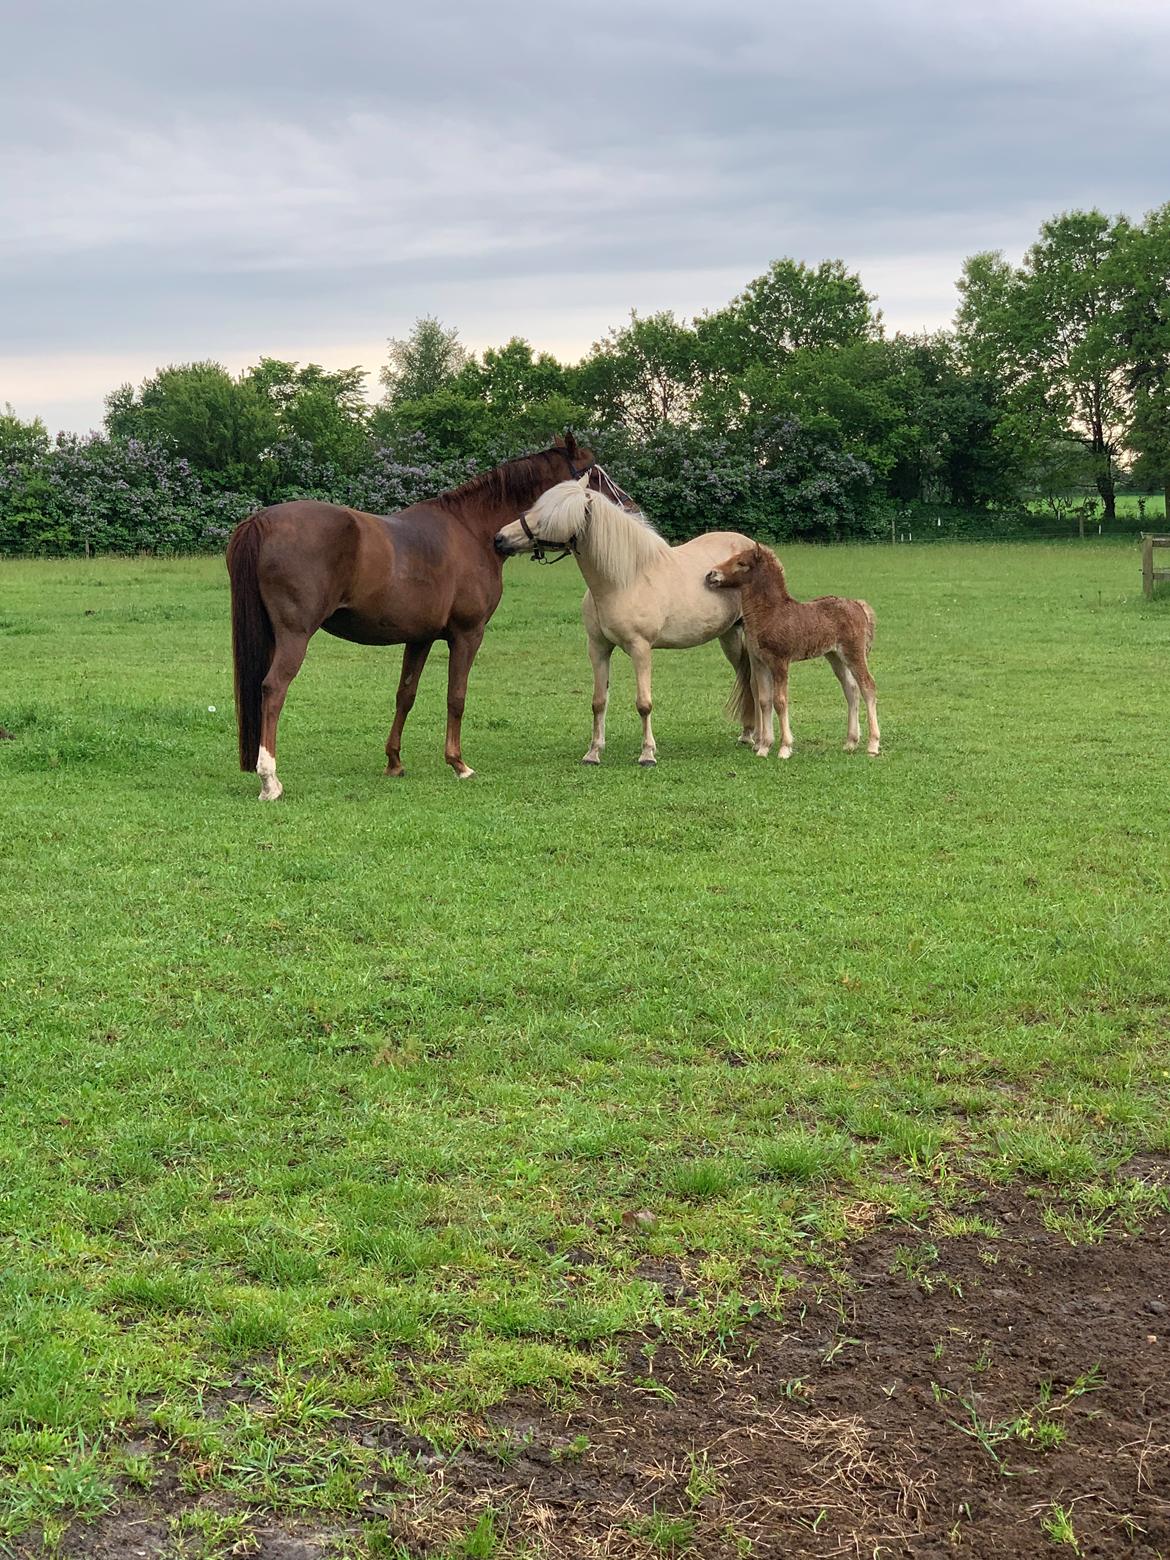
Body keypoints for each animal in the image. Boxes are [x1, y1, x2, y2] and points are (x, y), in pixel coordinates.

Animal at [226, 433, 599, 798]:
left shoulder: (420, 638)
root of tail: (261, 520)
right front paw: (458, 763)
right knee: (274, 688)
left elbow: (405, 695)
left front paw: (394, 761)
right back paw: (269, 779)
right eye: (592, 472)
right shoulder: (468, 634)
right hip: (294, 636)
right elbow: (456, 696)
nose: (616, 502)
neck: (471, 531)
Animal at [496, 477, 761, 764]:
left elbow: (644, 704)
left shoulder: (640, 648)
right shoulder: (598, 648)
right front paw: (593, 752)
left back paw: (758, 738)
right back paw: (748, 733)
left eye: (550, 516)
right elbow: (599, 701)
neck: (624, 580)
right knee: (746, 678)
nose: (500, 539)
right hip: (729, 636)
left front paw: (647, 754)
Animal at [705, 546, 879, 758]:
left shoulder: (780, 662)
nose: (711, 574)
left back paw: (873, 745)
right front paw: (764, 747)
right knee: (851, 690)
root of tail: (858, 605)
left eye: (741, 563)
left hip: (854, 654)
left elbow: (780, 701)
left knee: (868, 687)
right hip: (835, 656)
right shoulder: (760, 663)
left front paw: (784, 748)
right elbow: (764, 701)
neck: (770, 613)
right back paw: (850, 742)